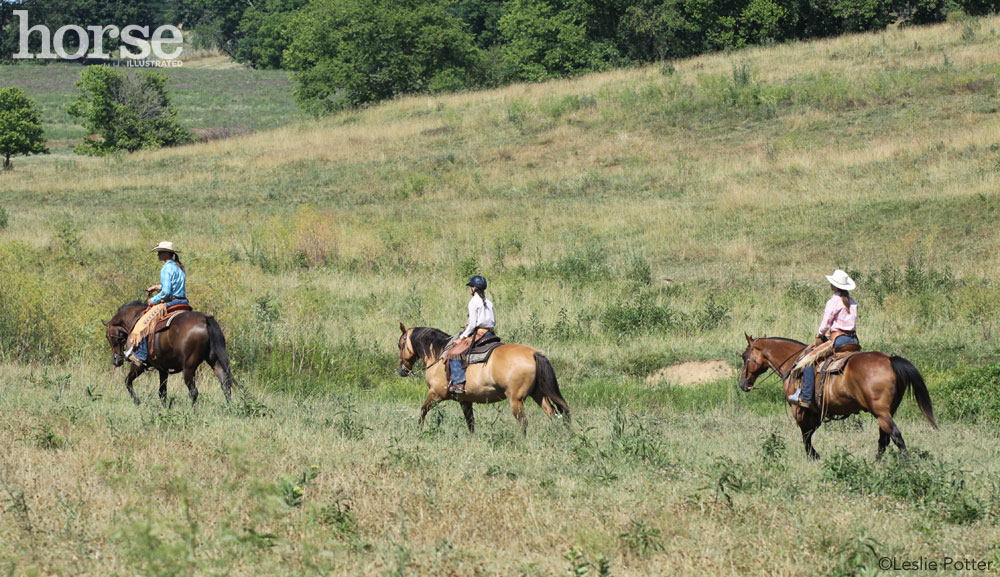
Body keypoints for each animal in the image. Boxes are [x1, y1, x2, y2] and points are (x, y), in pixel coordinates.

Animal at [102, 302, 236, 404]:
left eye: (108, 336)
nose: (116, 360)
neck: (135, 321)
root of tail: (205, 319)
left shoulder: (138, 365)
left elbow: (127, 381)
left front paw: (137, 402)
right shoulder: (163, 369)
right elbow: (162, 392)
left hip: (188, 368)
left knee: (194, 392)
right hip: (215, 361)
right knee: (225, 385)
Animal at [398, 324, 572, 432]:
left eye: (400, 345)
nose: (401, 370)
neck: (439, 354)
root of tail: (533, 353)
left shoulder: (436, 393)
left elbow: (422, 411)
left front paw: (418, 431)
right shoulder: (465, 400)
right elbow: (470, 422)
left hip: (516, 400)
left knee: (523, 422)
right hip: (538, 394)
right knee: (552, 413)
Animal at [736, 332, 936, 460]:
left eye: (745, 356)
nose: (742, 383)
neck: (794, 364)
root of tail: (890, 359)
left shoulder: (800, 409)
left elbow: (805, 434)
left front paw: (813, 457)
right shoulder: (816, 412)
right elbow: (808, 433)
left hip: (881, 413)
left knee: (895, 436)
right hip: (887, 412)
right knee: (884, 439)